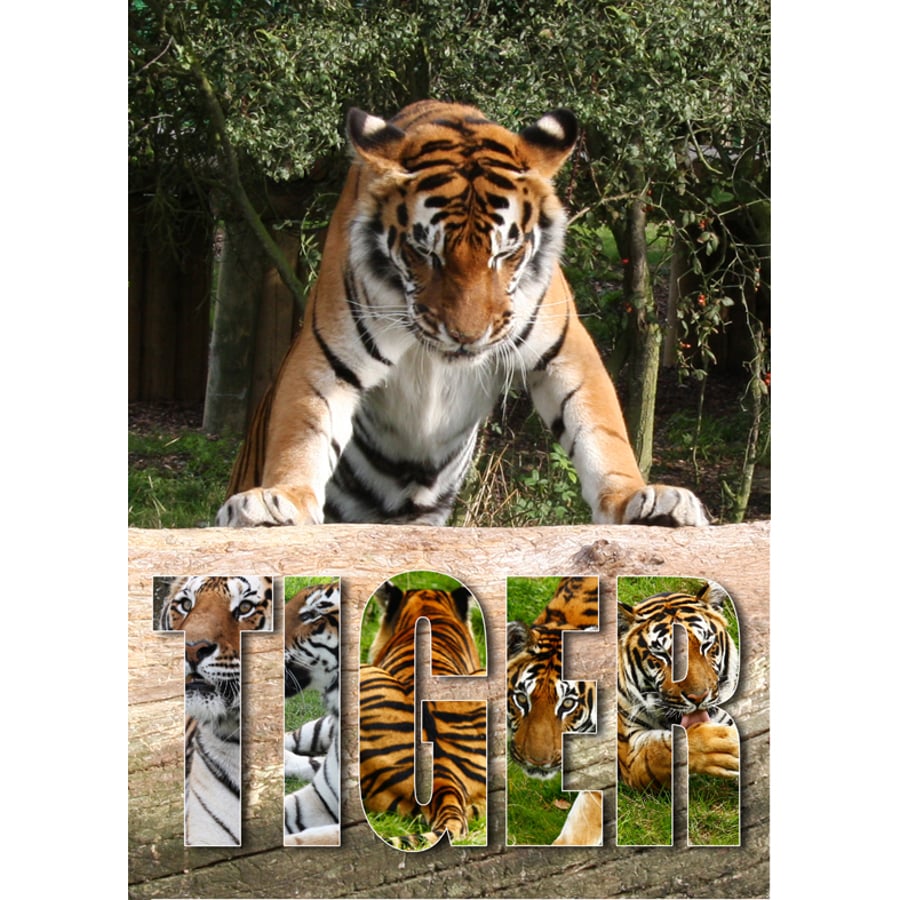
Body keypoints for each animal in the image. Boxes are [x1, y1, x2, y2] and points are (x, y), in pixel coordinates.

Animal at [215, 99, 708, 529]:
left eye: (505, 253)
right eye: (423, 253)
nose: (467, 337)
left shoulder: (566, 353)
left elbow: (601, 431)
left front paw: (640, 500)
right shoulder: (326, 358)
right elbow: (302, 433)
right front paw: (277, 501)